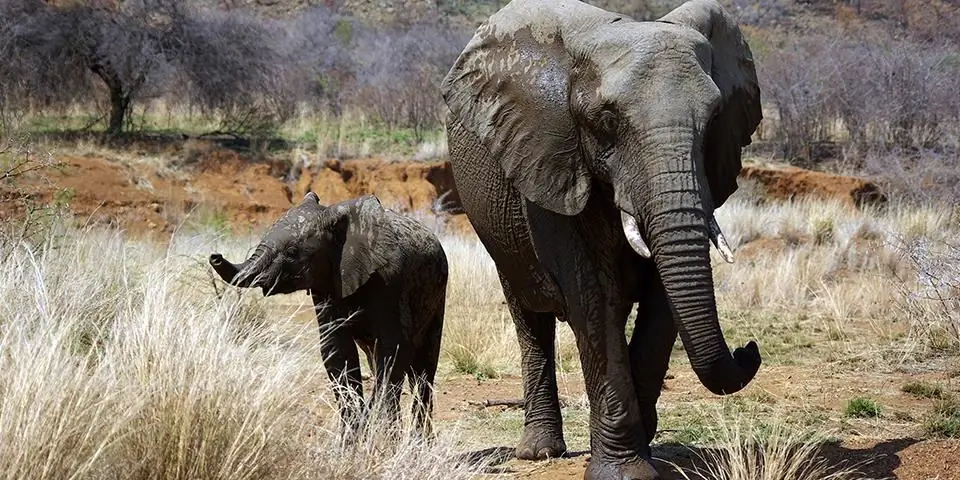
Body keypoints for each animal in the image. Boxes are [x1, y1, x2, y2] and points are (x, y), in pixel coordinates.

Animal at [208, 193, 448, 436]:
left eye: (292, 252)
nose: (215, 256)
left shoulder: (391, 281)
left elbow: (395, 349)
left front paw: (375, 431)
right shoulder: (325, 285)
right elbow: (337, 350)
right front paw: (355, 437)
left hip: (438, 296)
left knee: (423, 370)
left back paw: (419, 441)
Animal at [442, 0, 764, 480]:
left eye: (712, 121)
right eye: (607, 122)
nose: (749, 349)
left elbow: (662, 304)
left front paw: (643, 447)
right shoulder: (551, 162)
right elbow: (594, 297)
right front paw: (625, 471)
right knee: (528, 315)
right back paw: (539, 452)